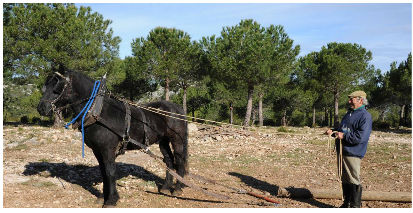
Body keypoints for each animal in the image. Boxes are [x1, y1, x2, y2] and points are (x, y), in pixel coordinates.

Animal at [37, 70, 188, 206]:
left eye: (57, 88)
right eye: (45, 86)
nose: (41, 108)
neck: (99, 112)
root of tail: (177, 108)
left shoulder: (107, 149)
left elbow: (110, 172)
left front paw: (111, 200)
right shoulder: (97, 150)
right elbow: (103, 172)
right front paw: (103, 197)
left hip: (177, 140)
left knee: (179, 161)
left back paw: (177, 188)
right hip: (163, 141)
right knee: (169, 161)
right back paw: (165, 187)